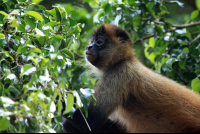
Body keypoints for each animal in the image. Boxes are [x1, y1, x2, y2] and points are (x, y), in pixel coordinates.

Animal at [63, 23, 200, 132]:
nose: (89, 47)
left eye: (99, 42)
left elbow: (90, 119)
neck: (126, 59)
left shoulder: (119, 72)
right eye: (92, 42)